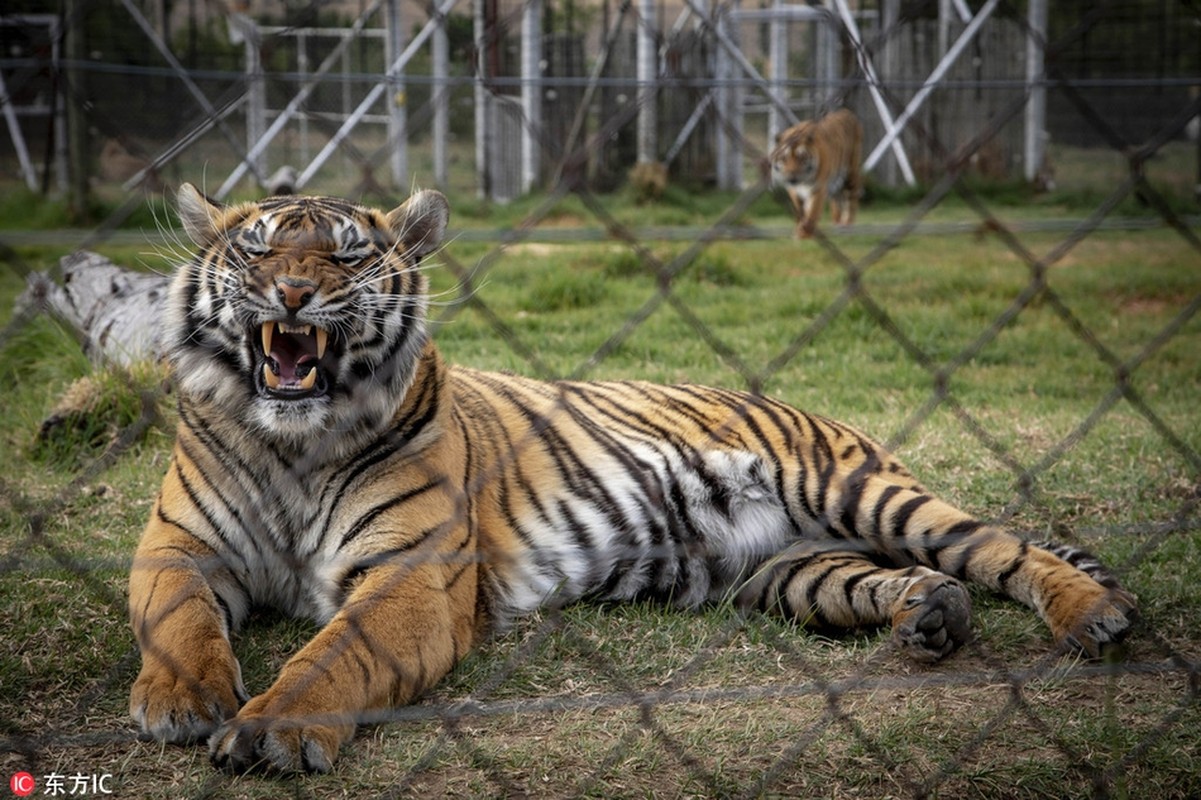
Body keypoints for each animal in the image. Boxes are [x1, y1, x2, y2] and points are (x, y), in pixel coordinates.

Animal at [129, 183, 1133, 768]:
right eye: (257, 250)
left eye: (344, 254)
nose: (292, 294)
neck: (290, 444)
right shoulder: (178, 547)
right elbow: (179, 621)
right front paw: (180, 702)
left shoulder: (412, 574)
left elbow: (335, 654)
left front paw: (273, 728)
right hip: (786, 572)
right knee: (901, 580)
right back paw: (932, 615)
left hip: (856, 492)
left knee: (1000, 548)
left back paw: (1092, 614)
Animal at [768, 109, 864, 240]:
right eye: (784, 158)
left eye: (801, 157)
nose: (792, 177)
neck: (803, 181)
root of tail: (846, 111)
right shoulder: (794, 190)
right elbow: (801, 210)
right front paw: (799, 230)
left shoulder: (818, 188)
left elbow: (812, 212)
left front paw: (805, 234)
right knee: (837, 201)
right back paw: (837, 225)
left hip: (851, 175)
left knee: (851, 201)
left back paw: (847, 226)